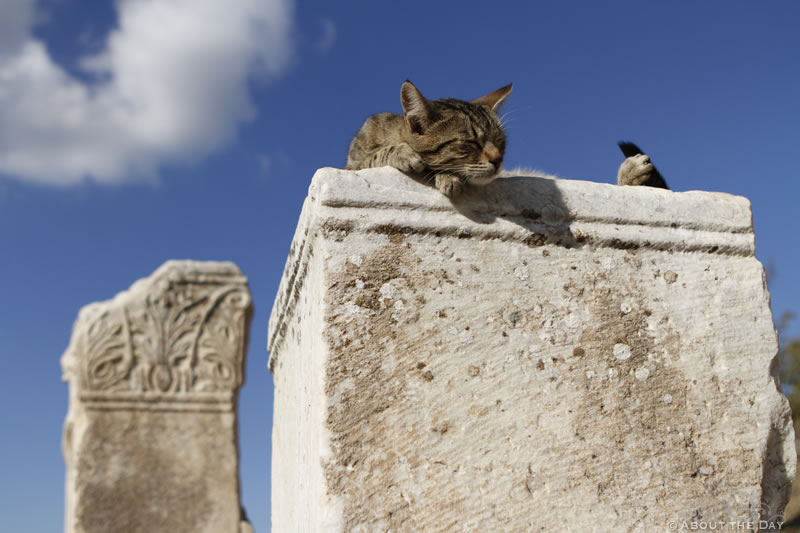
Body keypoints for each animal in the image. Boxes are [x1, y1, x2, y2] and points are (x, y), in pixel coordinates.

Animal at [346, 83, 664, 197]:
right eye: (471, 143)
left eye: (500, 142)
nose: (498, 161)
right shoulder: (353, 163)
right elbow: (375, 156)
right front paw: (405, 154)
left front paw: (448, 177)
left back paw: (631, 175)